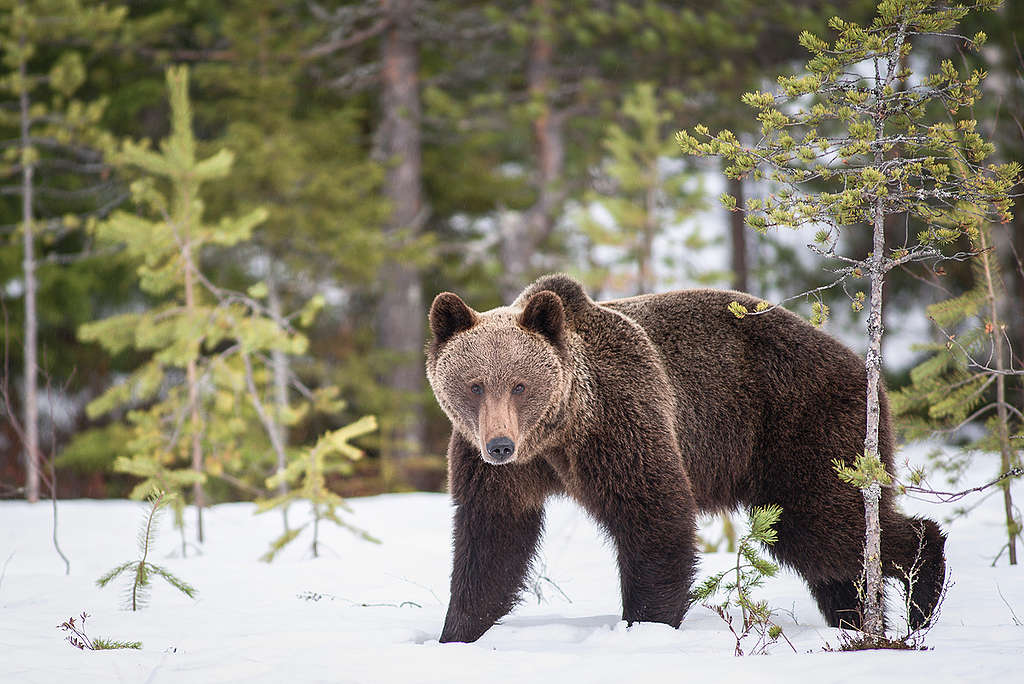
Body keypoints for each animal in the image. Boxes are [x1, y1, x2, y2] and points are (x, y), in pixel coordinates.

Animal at [423, 270, 942, 643]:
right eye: (475, 384)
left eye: (520, 384)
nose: (500, 445)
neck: (558, 433)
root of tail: (864, 366)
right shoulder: (495, 465)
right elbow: (493, 541)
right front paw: (456, 632)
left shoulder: (621, 421)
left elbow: (655, 519)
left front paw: (645, 624)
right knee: (827, 553)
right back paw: (854, 621)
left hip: (805, 428)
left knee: (828, 525)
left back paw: (922, 595)